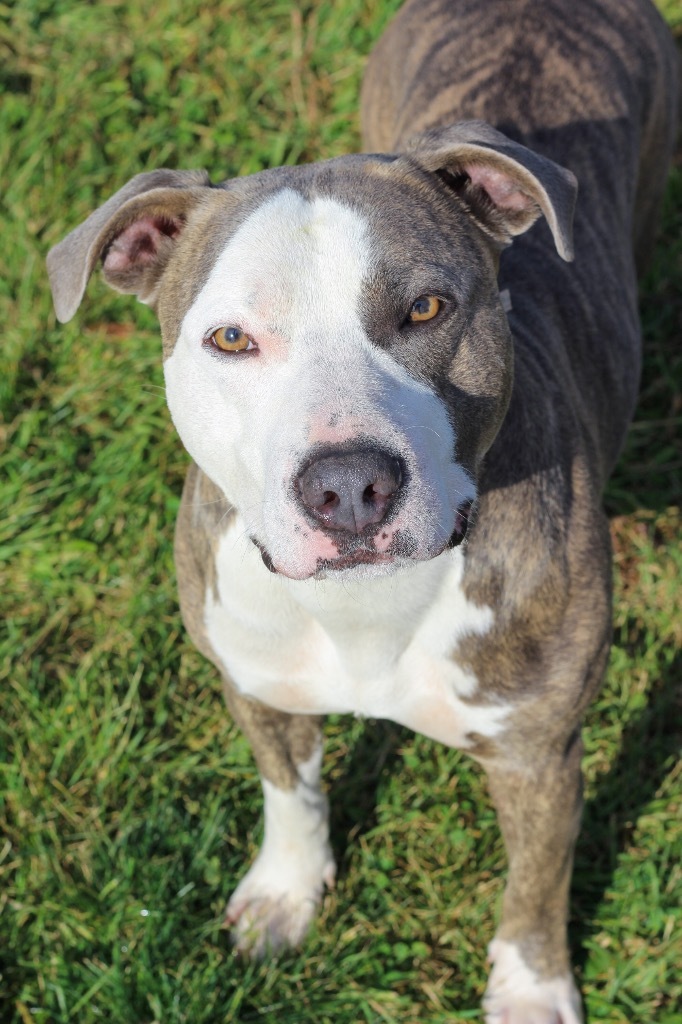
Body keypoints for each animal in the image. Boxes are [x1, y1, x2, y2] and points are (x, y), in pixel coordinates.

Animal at [46, 0, 675, 1019]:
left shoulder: (540, 754)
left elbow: (535, 884)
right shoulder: (256, 682)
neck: (367, 603)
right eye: (231, 338)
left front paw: (531, 989)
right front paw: (287, 891)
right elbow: (290, 790)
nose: (346, 485)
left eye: (426, 309)